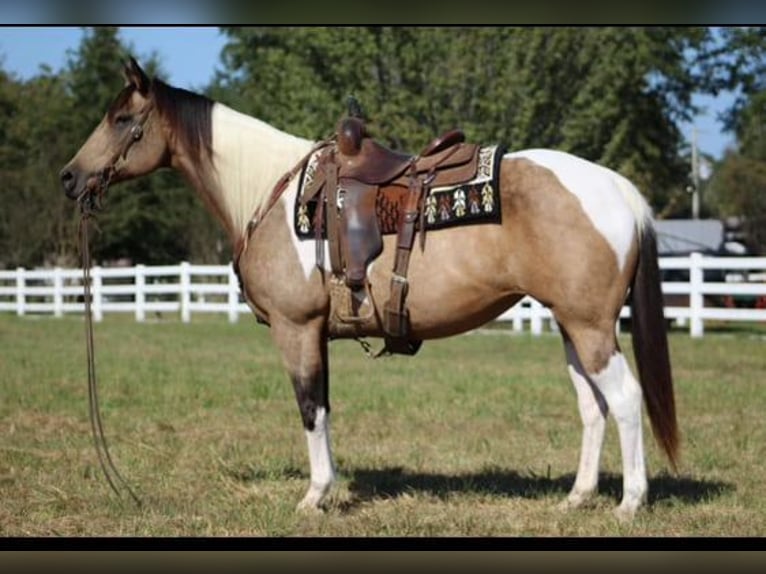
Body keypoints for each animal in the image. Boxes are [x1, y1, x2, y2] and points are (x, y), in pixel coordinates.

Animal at [60, 57, 678, 521]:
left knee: (625, 399)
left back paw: (630, 503)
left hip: (591, 327)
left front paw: (314, 496)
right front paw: (327, 487)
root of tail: (619, 189)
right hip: (571, 326)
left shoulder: (295, 330)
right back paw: (577, 497)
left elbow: (310, 407)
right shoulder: (317, 332)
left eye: (122, 118)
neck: (267, 192)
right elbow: (325, 407)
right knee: (593, 406)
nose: (69, 177)